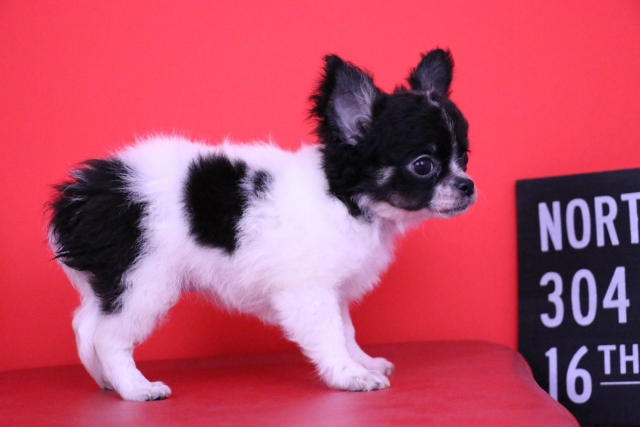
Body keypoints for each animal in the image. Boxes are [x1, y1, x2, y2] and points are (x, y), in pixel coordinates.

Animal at [48, 49, 475, 401]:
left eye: (465, 159)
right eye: (424, 165)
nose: (467, 185)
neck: (347, 199)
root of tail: (87, 192)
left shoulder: (333, 290)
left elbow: (346, 330)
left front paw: (362, 361)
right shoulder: (308, 292)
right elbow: (330, 334)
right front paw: (349, 375)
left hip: (113, 283)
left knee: (86, 326)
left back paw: (105, 381)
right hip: (143, 282)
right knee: (109, 337)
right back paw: (135, 387)